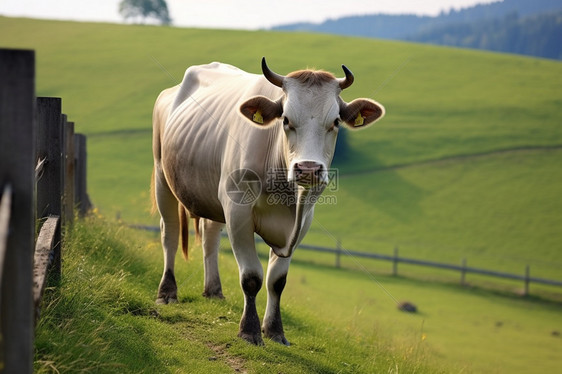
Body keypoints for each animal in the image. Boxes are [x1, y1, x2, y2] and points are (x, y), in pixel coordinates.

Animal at [151, 57, 382, 346]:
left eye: (336, 121)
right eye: (285, 119)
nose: (308, 169)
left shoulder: (303, 221)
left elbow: (277, 281)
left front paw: (274, 330)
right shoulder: (238, 210)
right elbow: (252, 277)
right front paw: (249, 330)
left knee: (210, 236)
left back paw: (213, 290)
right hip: (162, 175)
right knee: (169, 233)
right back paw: (167, 292)